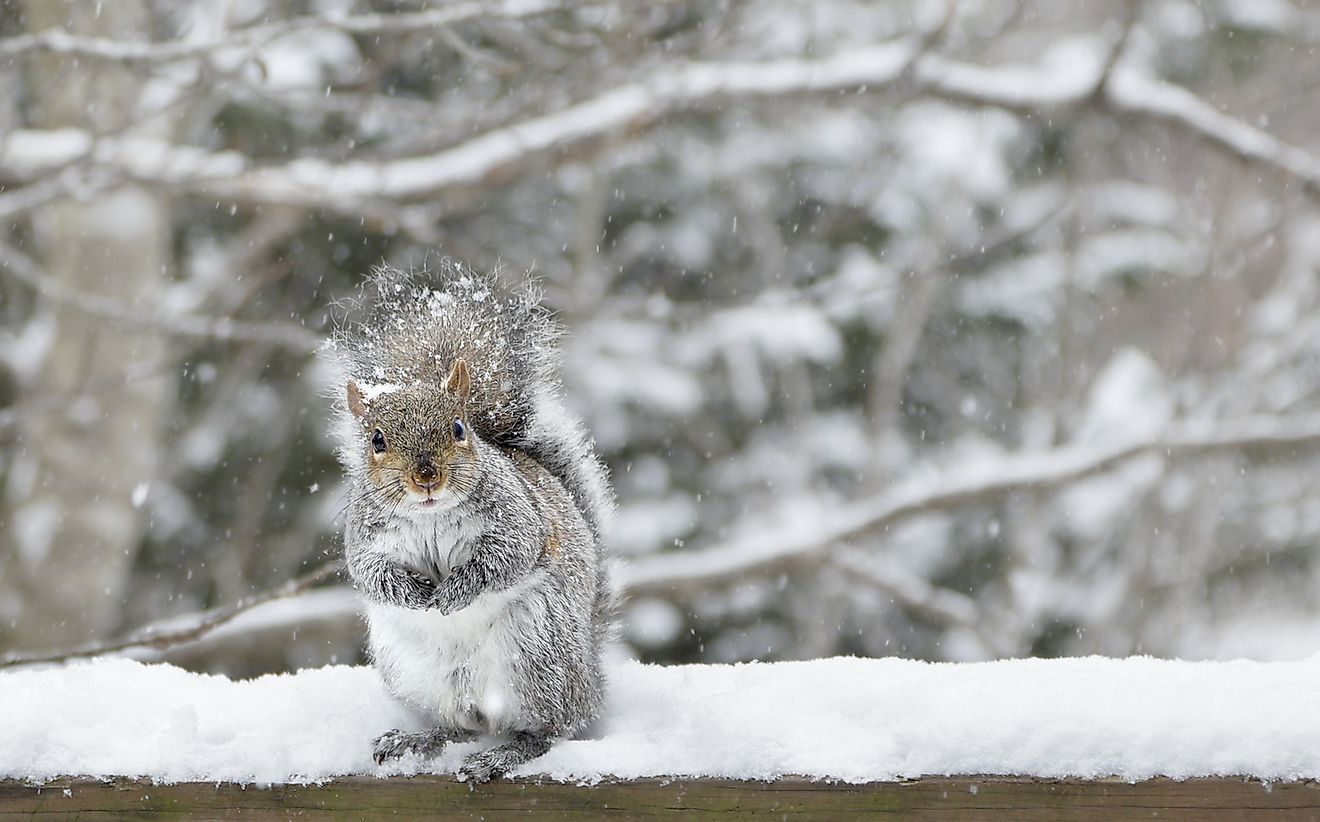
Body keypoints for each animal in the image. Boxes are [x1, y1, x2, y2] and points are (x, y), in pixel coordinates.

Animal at [330, 263, 617, 786]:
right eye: (376, 440)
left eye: (459, 428)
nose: (426, 476)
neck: (430, 515)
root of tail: (591, 676)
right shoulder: (366, 541)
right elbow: (372, 575)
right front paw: (415, 593)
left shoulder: (520, 521)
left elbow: (505, 560)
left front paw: (454, 591)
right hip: (414, 674)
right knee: (459, 725)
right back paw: (416, 739)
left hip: (537, 657)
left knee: (553, 728)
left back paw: (504, 754)